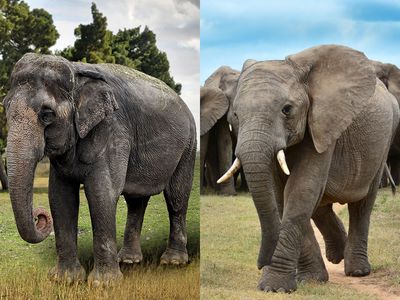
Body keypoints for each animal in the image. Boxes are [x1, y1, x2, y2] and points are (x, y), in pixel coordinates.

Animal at [3, 54, 196, 286]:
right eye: (5, 108)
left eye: (47, 115)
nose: (39, 216)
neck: (76, 71)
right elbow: (60, 196)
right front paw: (65, 280)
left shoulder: (113, 131)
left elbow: (101, 193)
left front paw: (103, 285)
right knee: (136, 200)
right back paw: (129, 260)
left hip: (188, 147)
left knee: (176, 197)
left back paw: (172, 262)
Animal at [219, 45, 400, 292]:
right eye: (236, 115)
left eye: (287, 110)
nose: (261, 264)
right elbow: (282, 195)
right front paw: (311, 280)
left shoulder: (324, 123)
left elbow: (301, 190)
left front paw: (274, 287)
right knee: (321, 204)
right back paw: (337, 254)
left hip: (384, 141)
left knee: (362, 204)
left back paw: (357, 270)